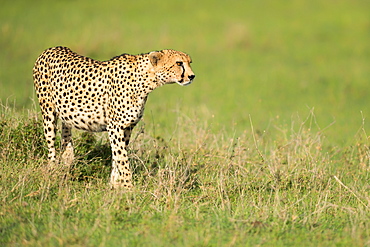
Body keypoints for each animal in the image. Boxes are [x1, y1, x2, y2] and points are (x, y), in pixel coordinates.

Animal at [33, 46, 195, 188]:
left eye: (189, 62)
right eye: (179, 63)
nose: (192, 76)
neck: (146, 79)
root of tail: (51, 49)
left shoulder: (127, 127)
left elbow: (117, 157)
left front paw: (114, 185)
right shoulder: (115, 126)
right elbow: (122, 158)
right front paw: (128, 188)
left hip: (66, 112)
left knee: (66, 134)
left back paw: (67, 160)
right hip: (48, 113)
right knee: (51, 146)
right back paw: (53, 172)